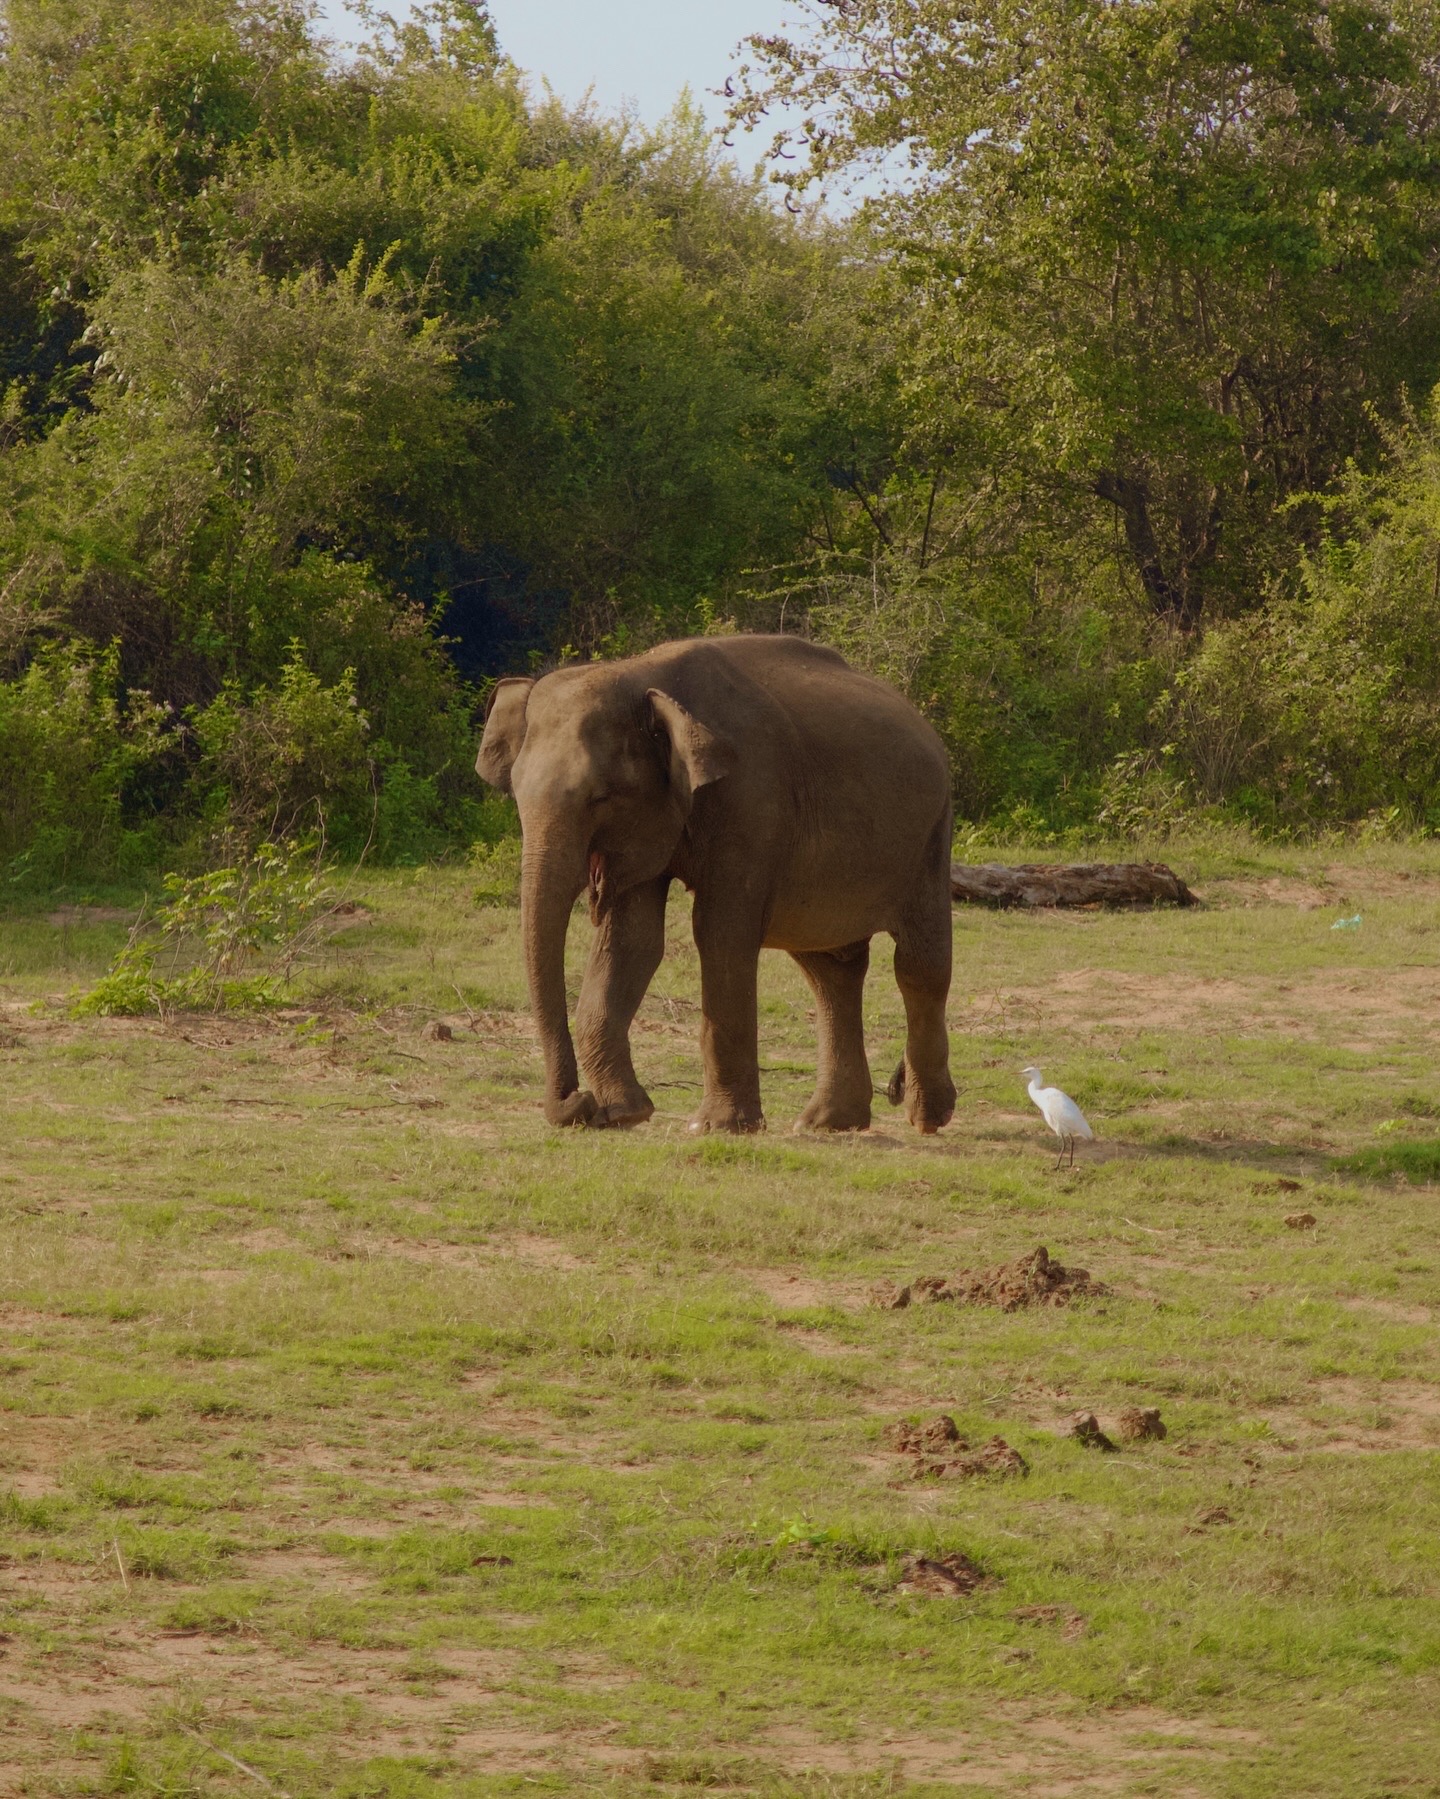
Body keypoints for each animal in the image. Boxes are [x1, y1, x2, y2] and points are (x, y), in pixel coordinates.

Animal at [477, 633, 956, 1136]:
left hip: (932, 831)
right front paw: (628, 1113)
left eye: (600, 797)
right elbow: (632, 941)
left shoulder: (752, 798)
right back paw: (827, 1122)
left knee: (917, 964)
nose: (578, 1104)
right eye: (515, 793)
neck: (640, 675)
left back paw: (926, 1116)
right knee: (829, 967)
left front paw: (719, 1126)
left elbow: (720, 933)